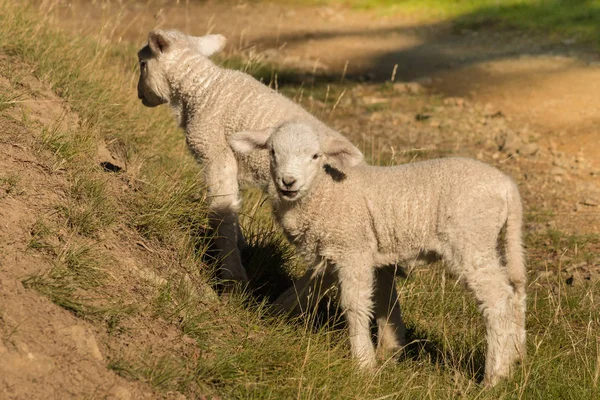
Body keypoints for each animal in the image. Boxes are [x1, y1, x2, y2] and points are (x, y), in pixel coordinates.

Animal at [230, 122, 524, 388]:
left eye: (315, 156)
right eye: (272, 152)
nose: (288, 182)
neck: (325, 192)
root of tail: (508, 187)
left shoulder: (352, 249)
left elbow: (355, 304)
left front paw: (364, 362)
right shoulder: (336, 248)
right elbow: (312, 286)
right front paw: (273, 314)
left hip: (471, 239)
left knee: (498, 301)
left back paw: (495, 376)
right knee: (514, 293)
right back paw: (513, 361)